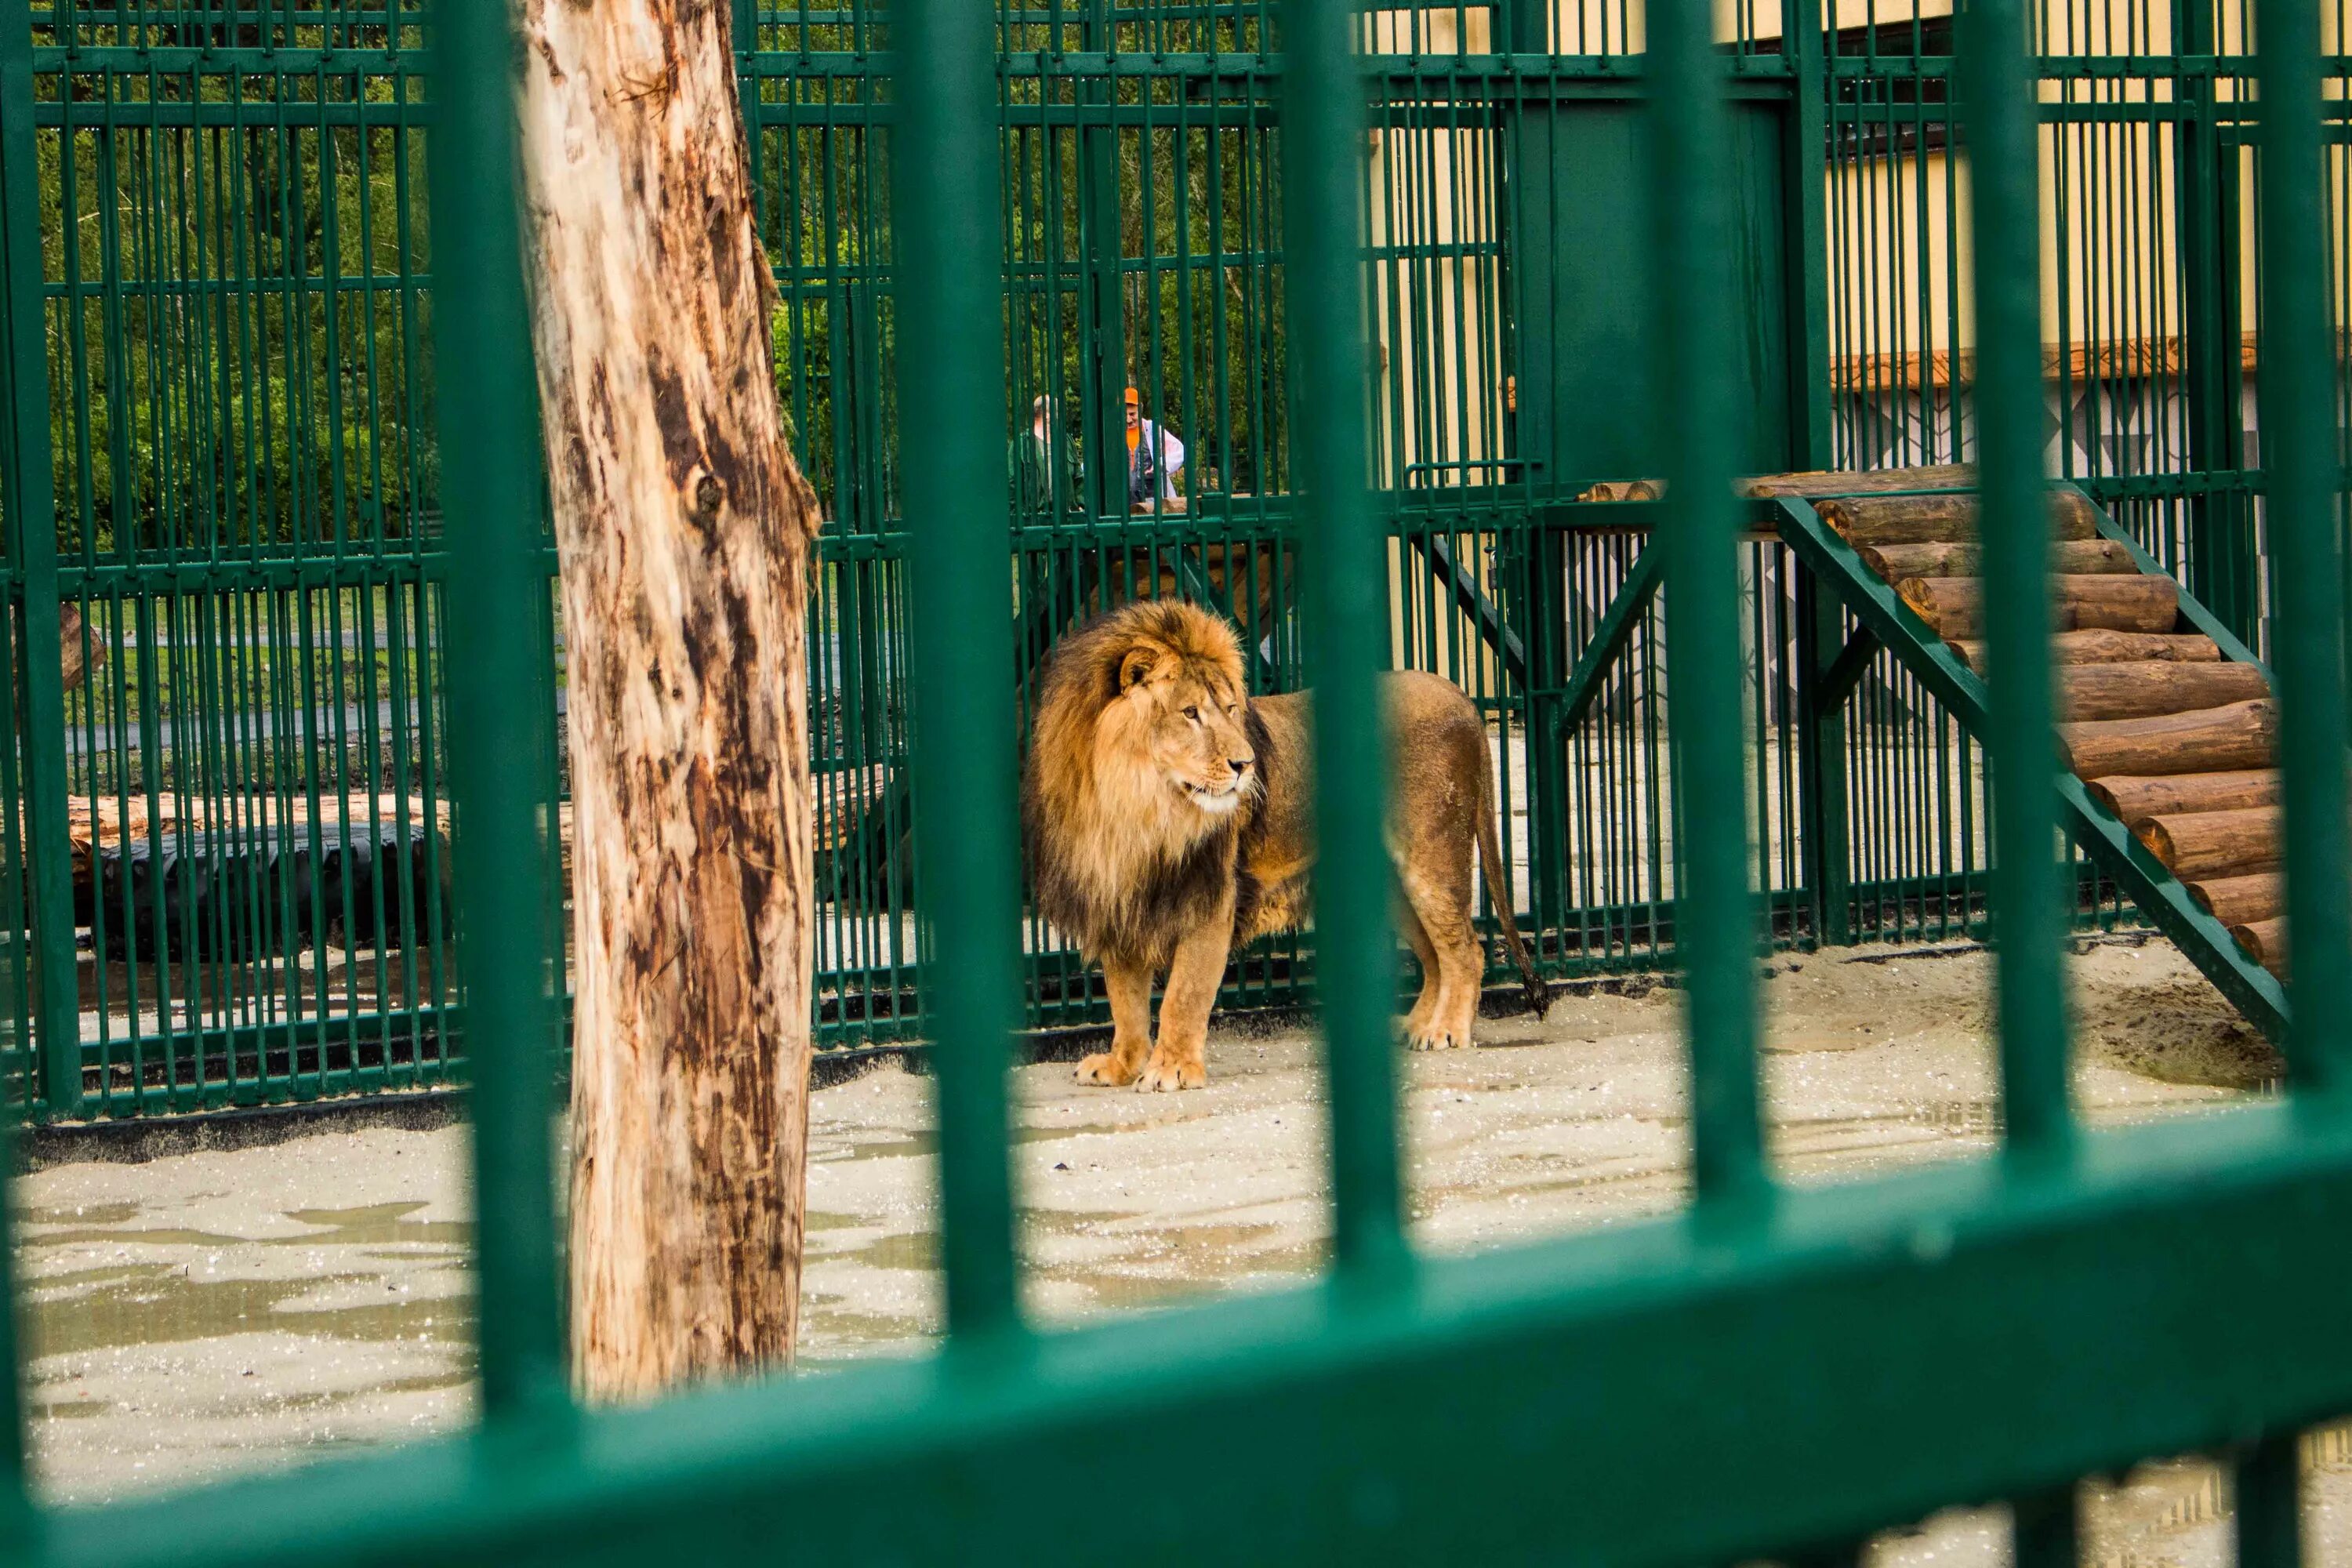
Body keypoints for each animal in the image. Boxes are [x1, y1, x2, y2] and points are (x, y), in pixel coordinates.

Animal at [1025, 594, 1543, 1100]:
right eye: (1190, 713)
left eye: (1230, 709)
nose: (1245, 764)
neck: (1135, 807)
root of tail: (1461, 697)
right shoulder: (1114, 897)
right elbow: (1125, 1000)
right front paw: (1122, 1065)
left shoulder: (1211, 899)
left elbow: (1182, 995)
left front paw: (1171, 1069)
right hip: (1393, 883)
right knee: (1435, 957)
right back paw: (1416, 1026)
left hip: (1431, 860)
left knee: (1464, 951)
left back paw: (1446, 1031)